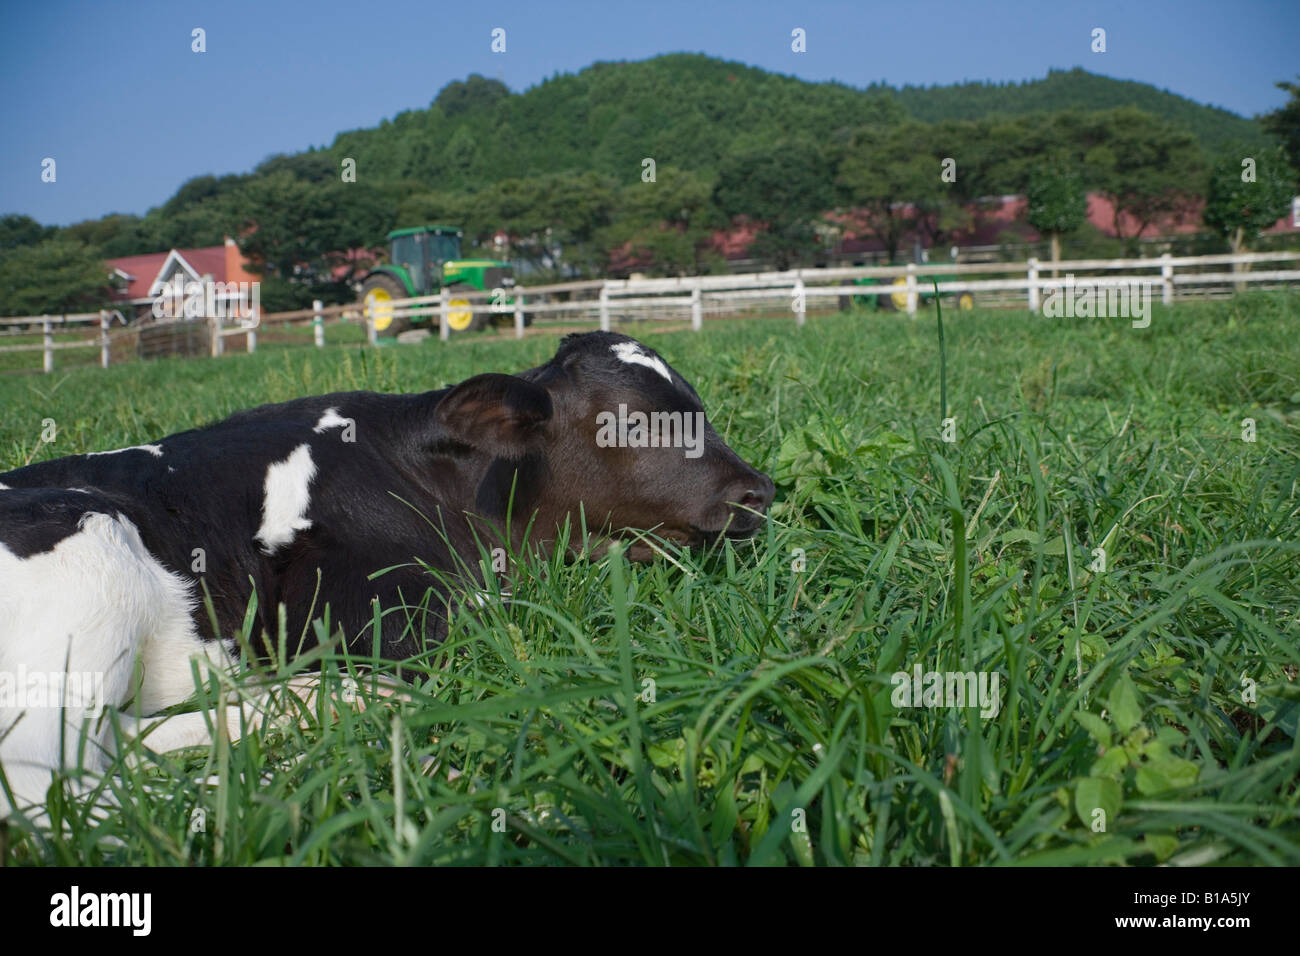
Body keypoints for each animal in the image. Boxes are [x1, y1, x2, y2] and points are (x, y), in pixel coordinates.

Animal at [0, 331, 773, 818]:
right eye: (634, 422)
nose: (759, 491)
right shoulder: (366, 609)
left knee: (122, 748)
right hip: (92, 571)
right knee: (52, 787)